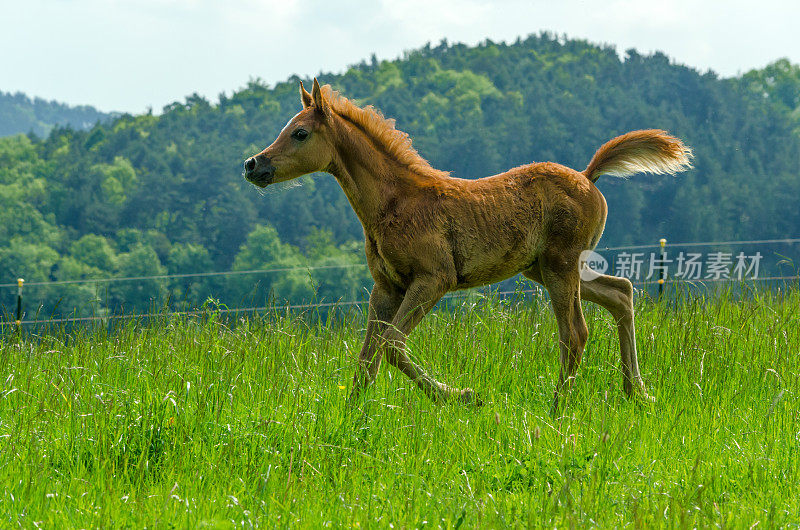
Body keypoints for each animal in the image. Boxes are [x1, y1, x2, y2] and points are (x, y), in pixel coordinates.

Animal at [242, 78, 688, 410]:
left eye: (300, 133)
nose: (253, 164)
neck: (395, 202)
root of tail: (587, 175)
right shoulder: (385, 287)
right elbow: (367, 358)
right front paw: (351, 418)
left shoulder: (433, 279)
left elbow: (392, 346)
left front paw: (462, 396)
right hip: (546, 268)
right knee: (621, 293)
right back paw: (637, 392)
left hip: (560, 265)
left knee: (575, 332)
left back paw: (558, 408)